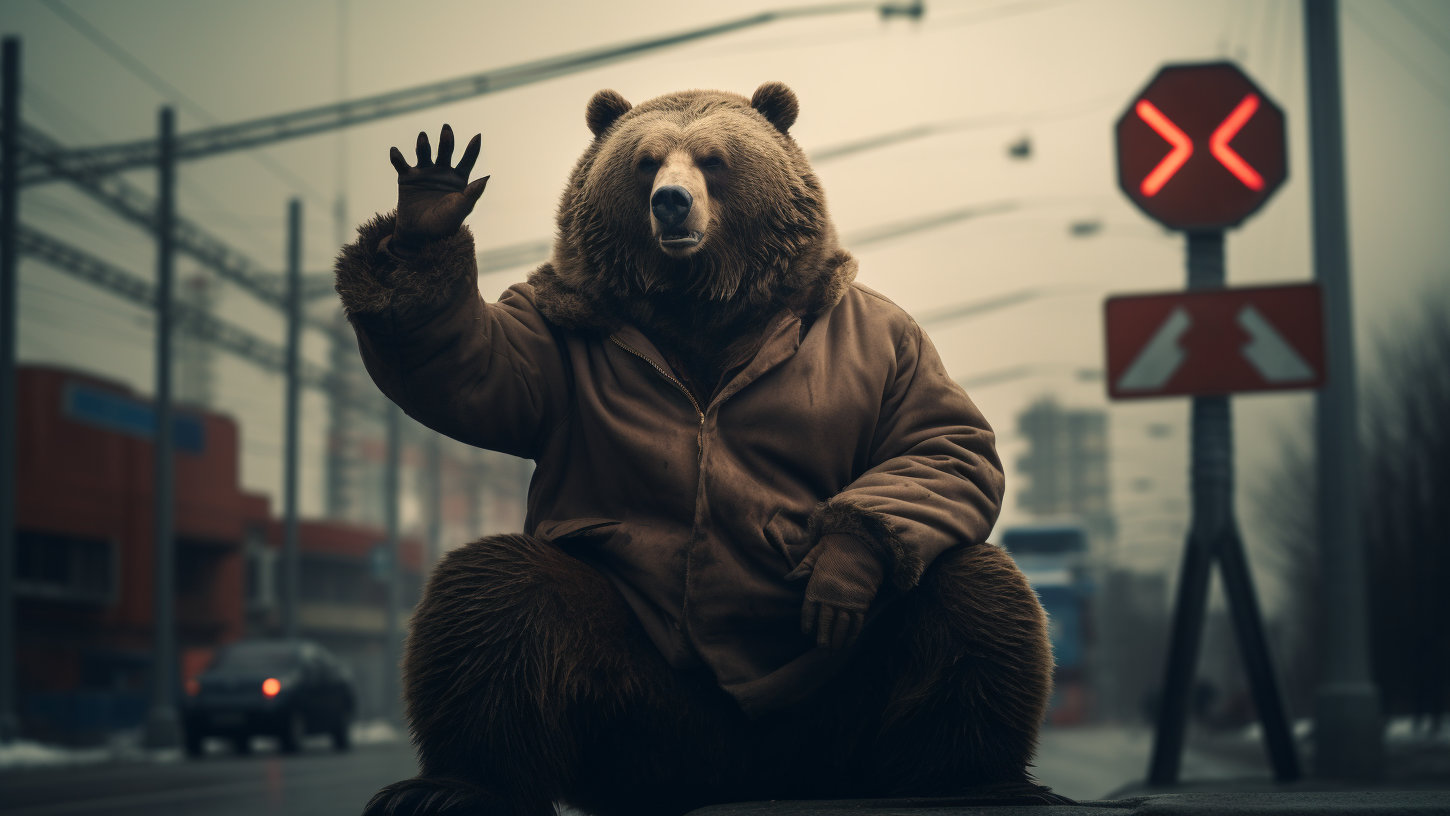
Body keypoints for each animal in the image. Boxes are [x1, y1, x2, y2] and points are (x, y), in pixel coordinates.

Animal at [333, 83, 1060, 815]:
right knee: (497, 595)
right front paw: (429, 204)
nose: (671, 201)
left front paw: (842, 563)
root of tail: (745, 777)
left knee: (973, 594)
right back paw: (450, 787)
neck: (702, 309)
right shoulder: (559, 337)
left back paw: (976, 779)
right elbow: (474, 375)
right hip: (637, 692)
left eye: (714, 159)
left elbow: (939, 442)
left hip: (829, 703)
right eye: (647, 162)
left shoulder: (882, 338)